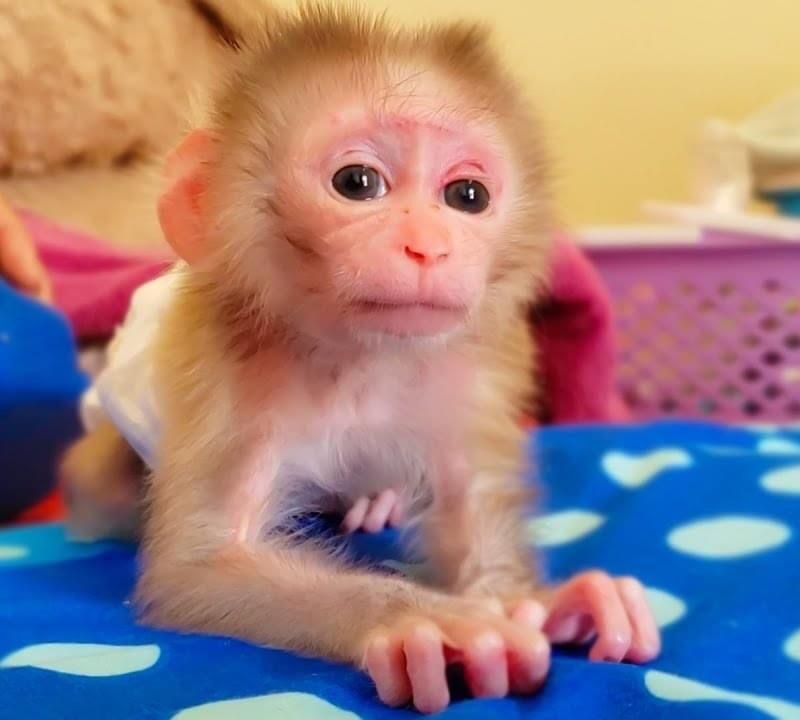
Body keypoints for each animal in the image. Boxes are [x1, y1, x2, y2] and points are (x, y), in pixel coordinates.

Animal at [59, 4, 660, 713]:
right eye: (358, 183)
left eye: (467, 196)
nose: (428, 246)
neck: (360, 361)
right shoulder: (227, 372)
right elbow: (201, 567)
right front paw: (424, 622)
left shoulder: (469, 369)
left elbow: (468, 499)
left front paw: (539, 604)